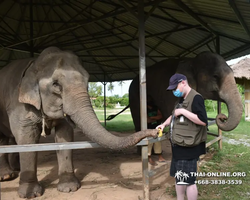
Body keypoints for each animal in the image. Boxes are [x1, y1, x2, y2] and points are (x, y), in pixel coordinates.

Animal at [0, 47, 157, 198]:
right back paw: (7, 176)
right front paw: (30, 194)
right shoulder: (18, 104)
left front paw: (69, 188)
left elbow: (65, 135)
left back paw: (14, 170)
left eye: (88, 81)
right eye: (56, 84)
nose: (155, 132)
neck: (34, 64)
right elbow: (27, 138)